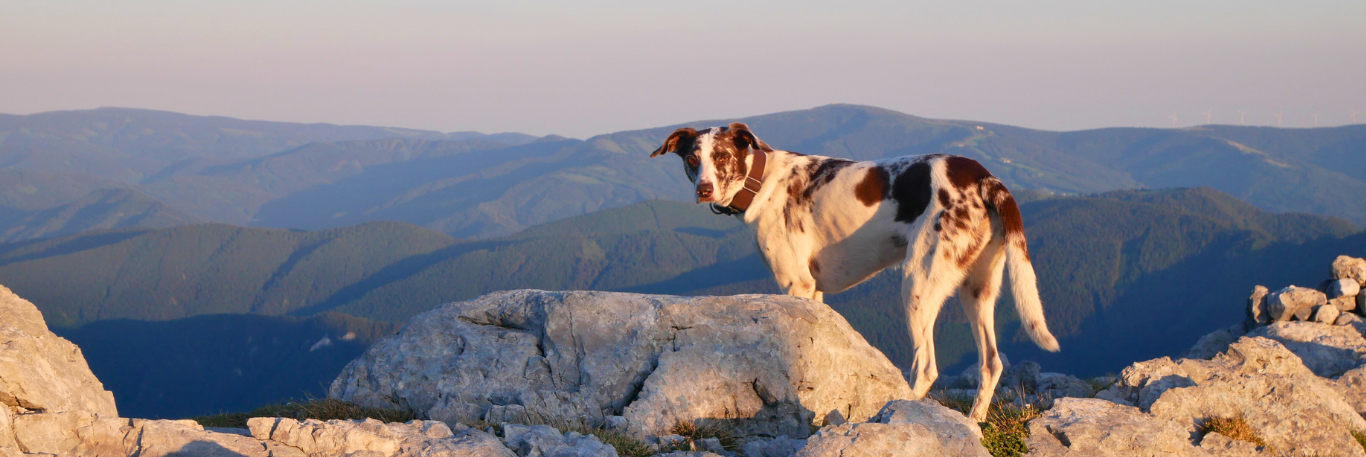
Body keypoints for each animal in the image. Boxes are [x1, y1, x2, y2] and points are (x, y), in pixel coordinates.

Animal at [647, 122, 1054, 422]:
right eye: (692, 159)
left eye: (722, 156)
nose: (704, 189)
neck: (762, 181)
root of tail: (982, 175)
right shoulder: (813, 292)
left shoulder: (795, 284)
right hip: (977, 290)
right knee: (991, 364)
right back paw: (974, 422)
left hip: (918, 284)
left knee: (925, 368)